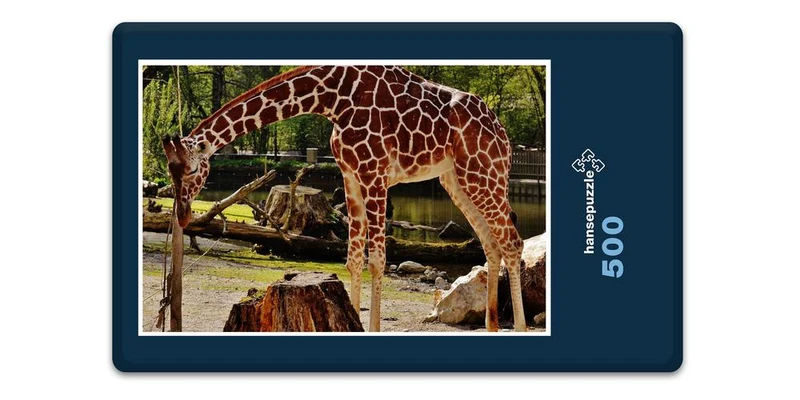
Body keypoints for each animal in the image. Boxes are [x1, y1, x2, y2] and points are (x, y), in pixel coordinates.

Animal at [161, 65, 527, 332]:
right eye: (169, 170)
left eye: (192, 169)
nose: (182, 215)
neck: (333, 98)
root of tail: (505, 136)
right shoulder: (350, 175)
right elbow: (352, 259)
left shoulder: (375, 173)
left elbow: (377, 260)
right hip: (456, 179)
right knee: (491, 243)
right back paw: (492, 326)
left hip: (484, 172)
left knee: (512, 242)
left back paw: (520, 328)